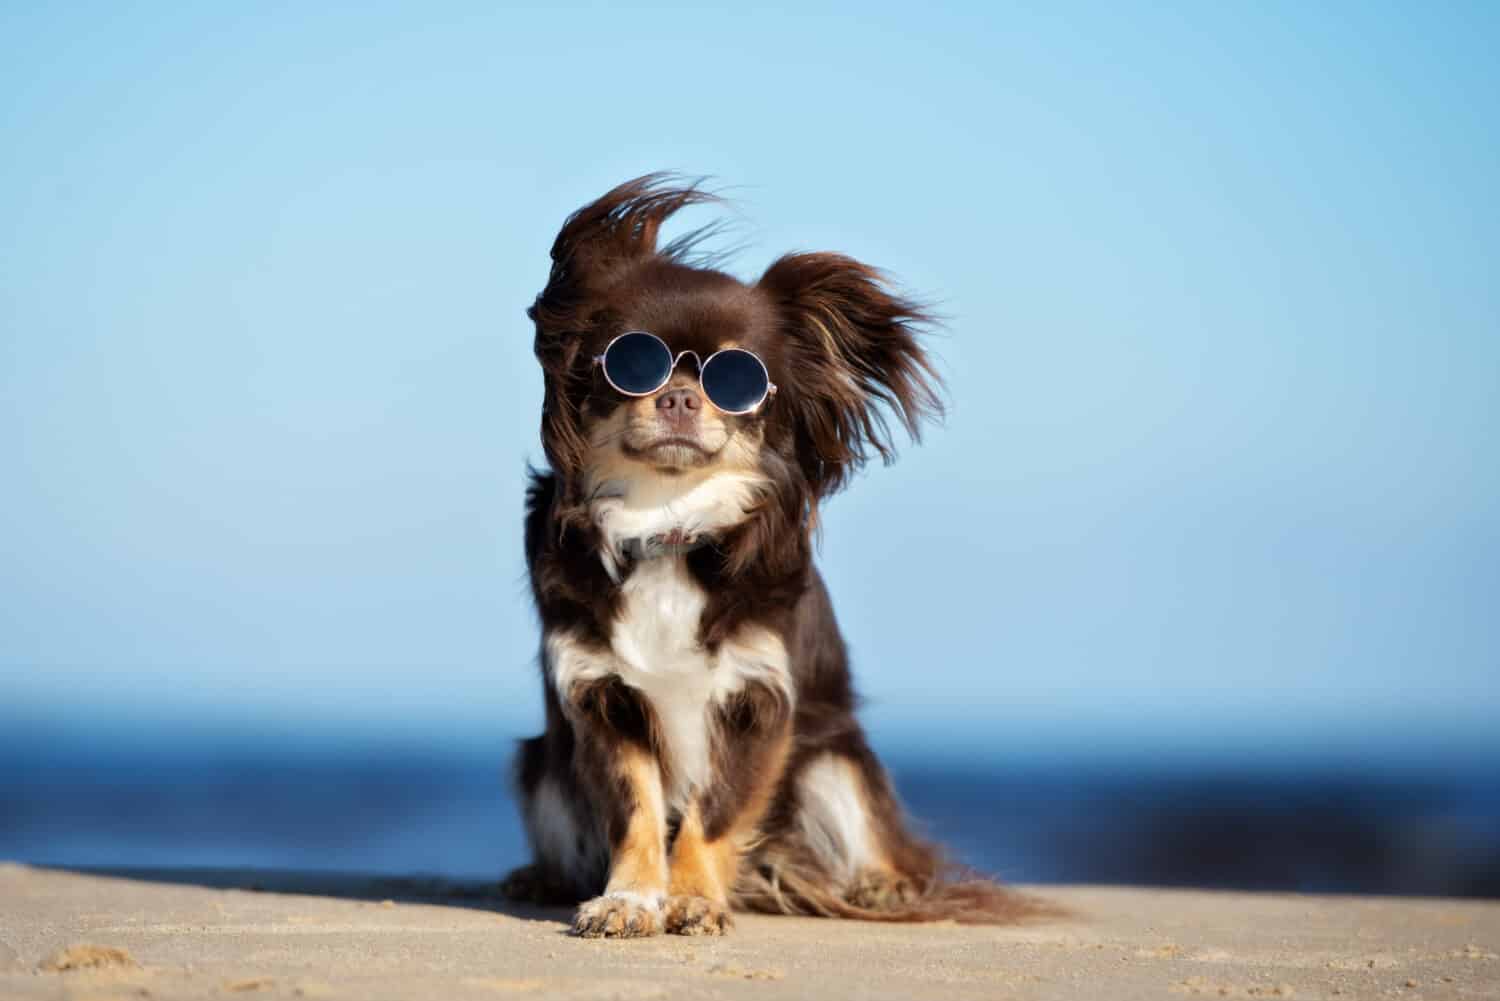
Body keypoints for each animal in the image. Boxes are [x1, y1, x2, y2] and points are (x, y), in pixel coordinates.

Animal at [504, 176, 1044, 936]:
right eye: (629, 363)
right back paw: (541, 877)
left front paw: (694, 898)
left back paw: (881, 885)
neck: (669, 527)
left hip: (835, 758)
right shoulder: (603, 699)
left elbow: (713, 812)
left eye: (738, 379)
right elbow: (636, 811)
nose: (679, 396)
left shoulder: (759, 704)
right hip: (540, 765)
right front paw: (632, 898)